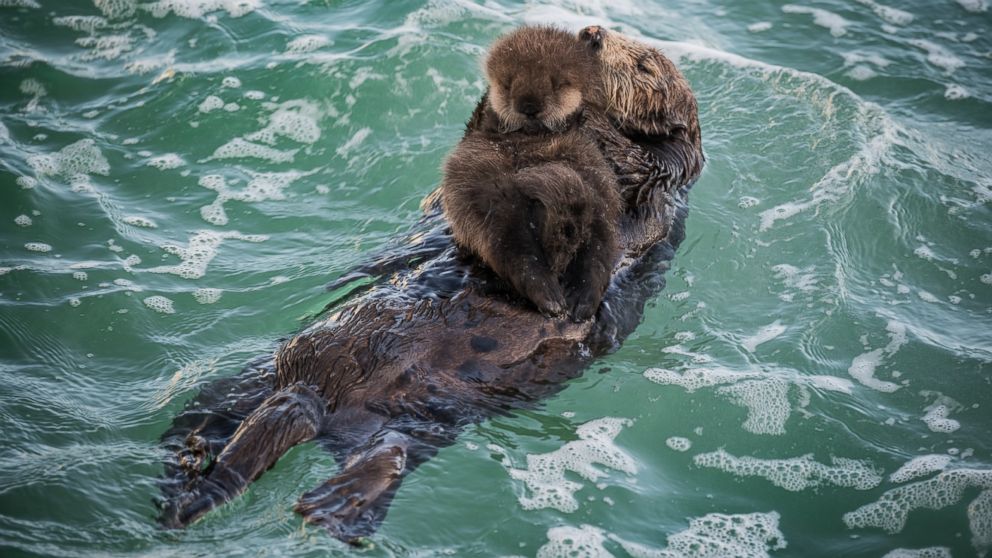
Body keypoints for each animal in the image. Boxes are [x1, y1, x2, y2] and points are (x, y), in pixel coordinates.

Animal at [442, 26, 620, 322]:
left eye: (557, 84)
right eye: (507, 83)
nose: (528, 105)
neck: (531, 138)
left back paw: (570, 301)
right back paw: (567, 300)